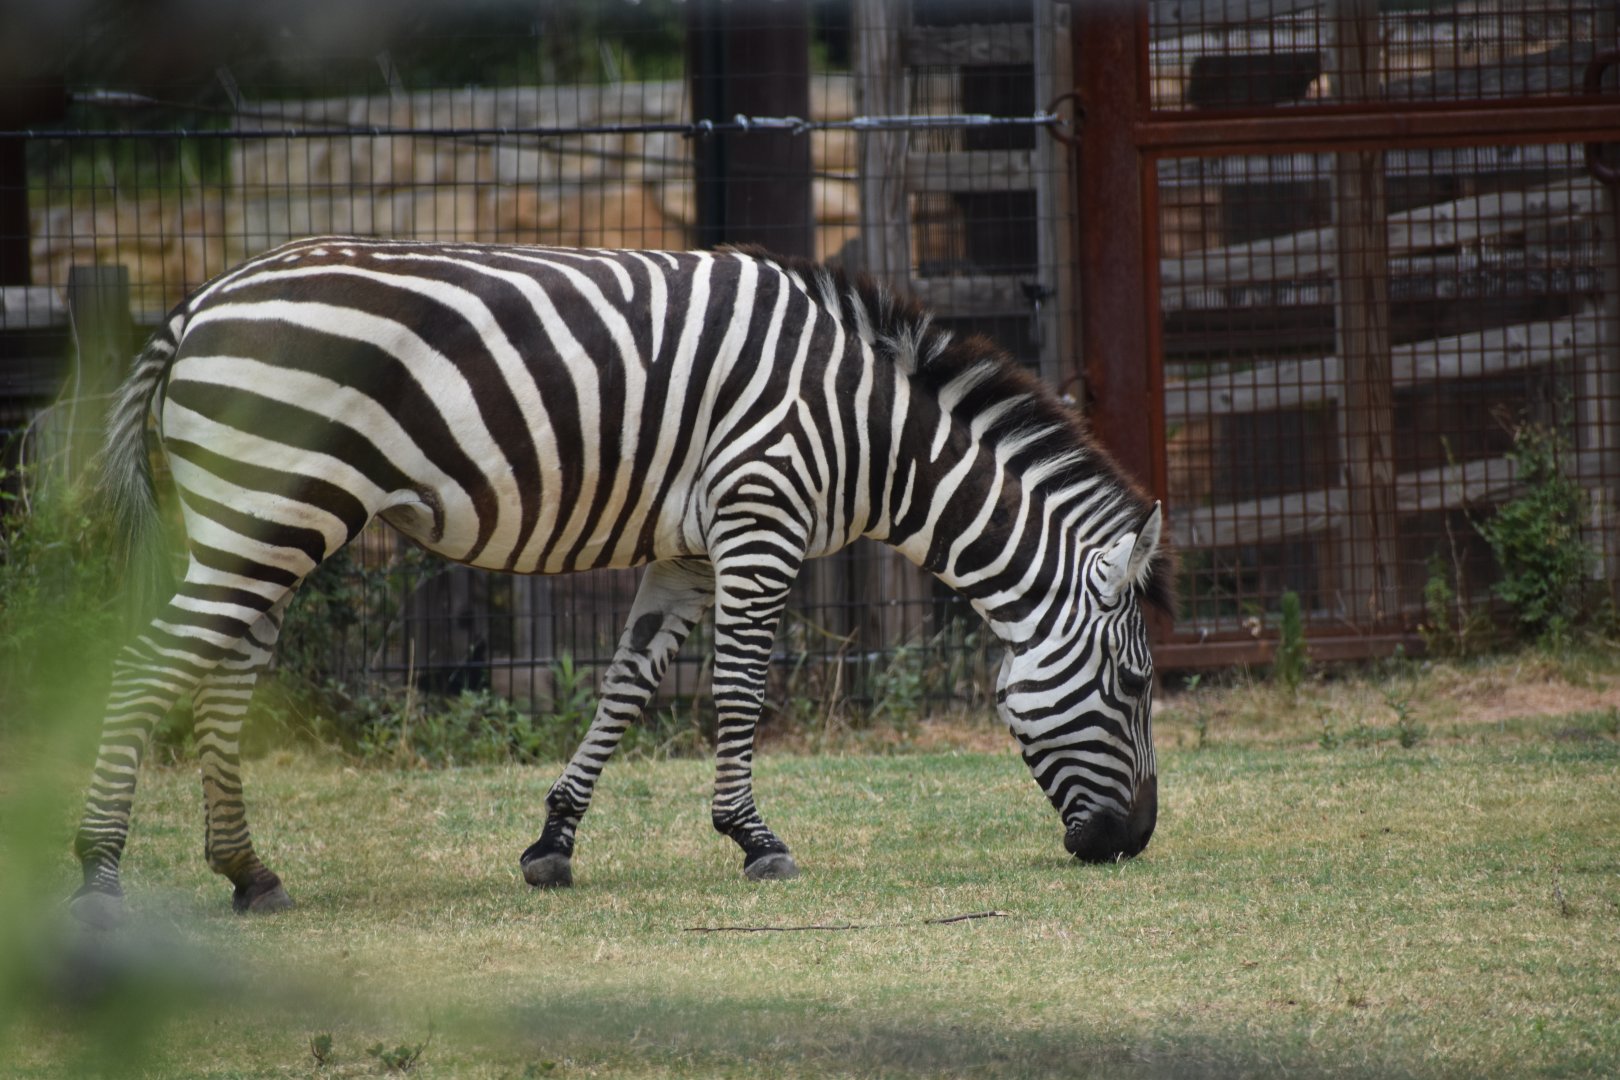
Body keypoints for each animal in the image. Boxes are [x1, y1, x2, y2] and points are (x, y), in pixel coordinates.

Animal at [70, 236, 1170, 923]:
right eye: (1135, 685)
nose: (1132, 844)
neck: (869, 435)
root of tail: (197, 306)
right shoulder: (759, 519)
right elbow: (737, 690)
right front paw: (755, 840)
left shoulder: (689, 550)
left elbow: (629, 684)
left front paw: (552, 842)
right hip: (273, 510)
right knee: (143, 663)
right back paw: (98, 872)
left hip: (261, 520)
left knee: (227, 671)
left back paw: (248, 872)